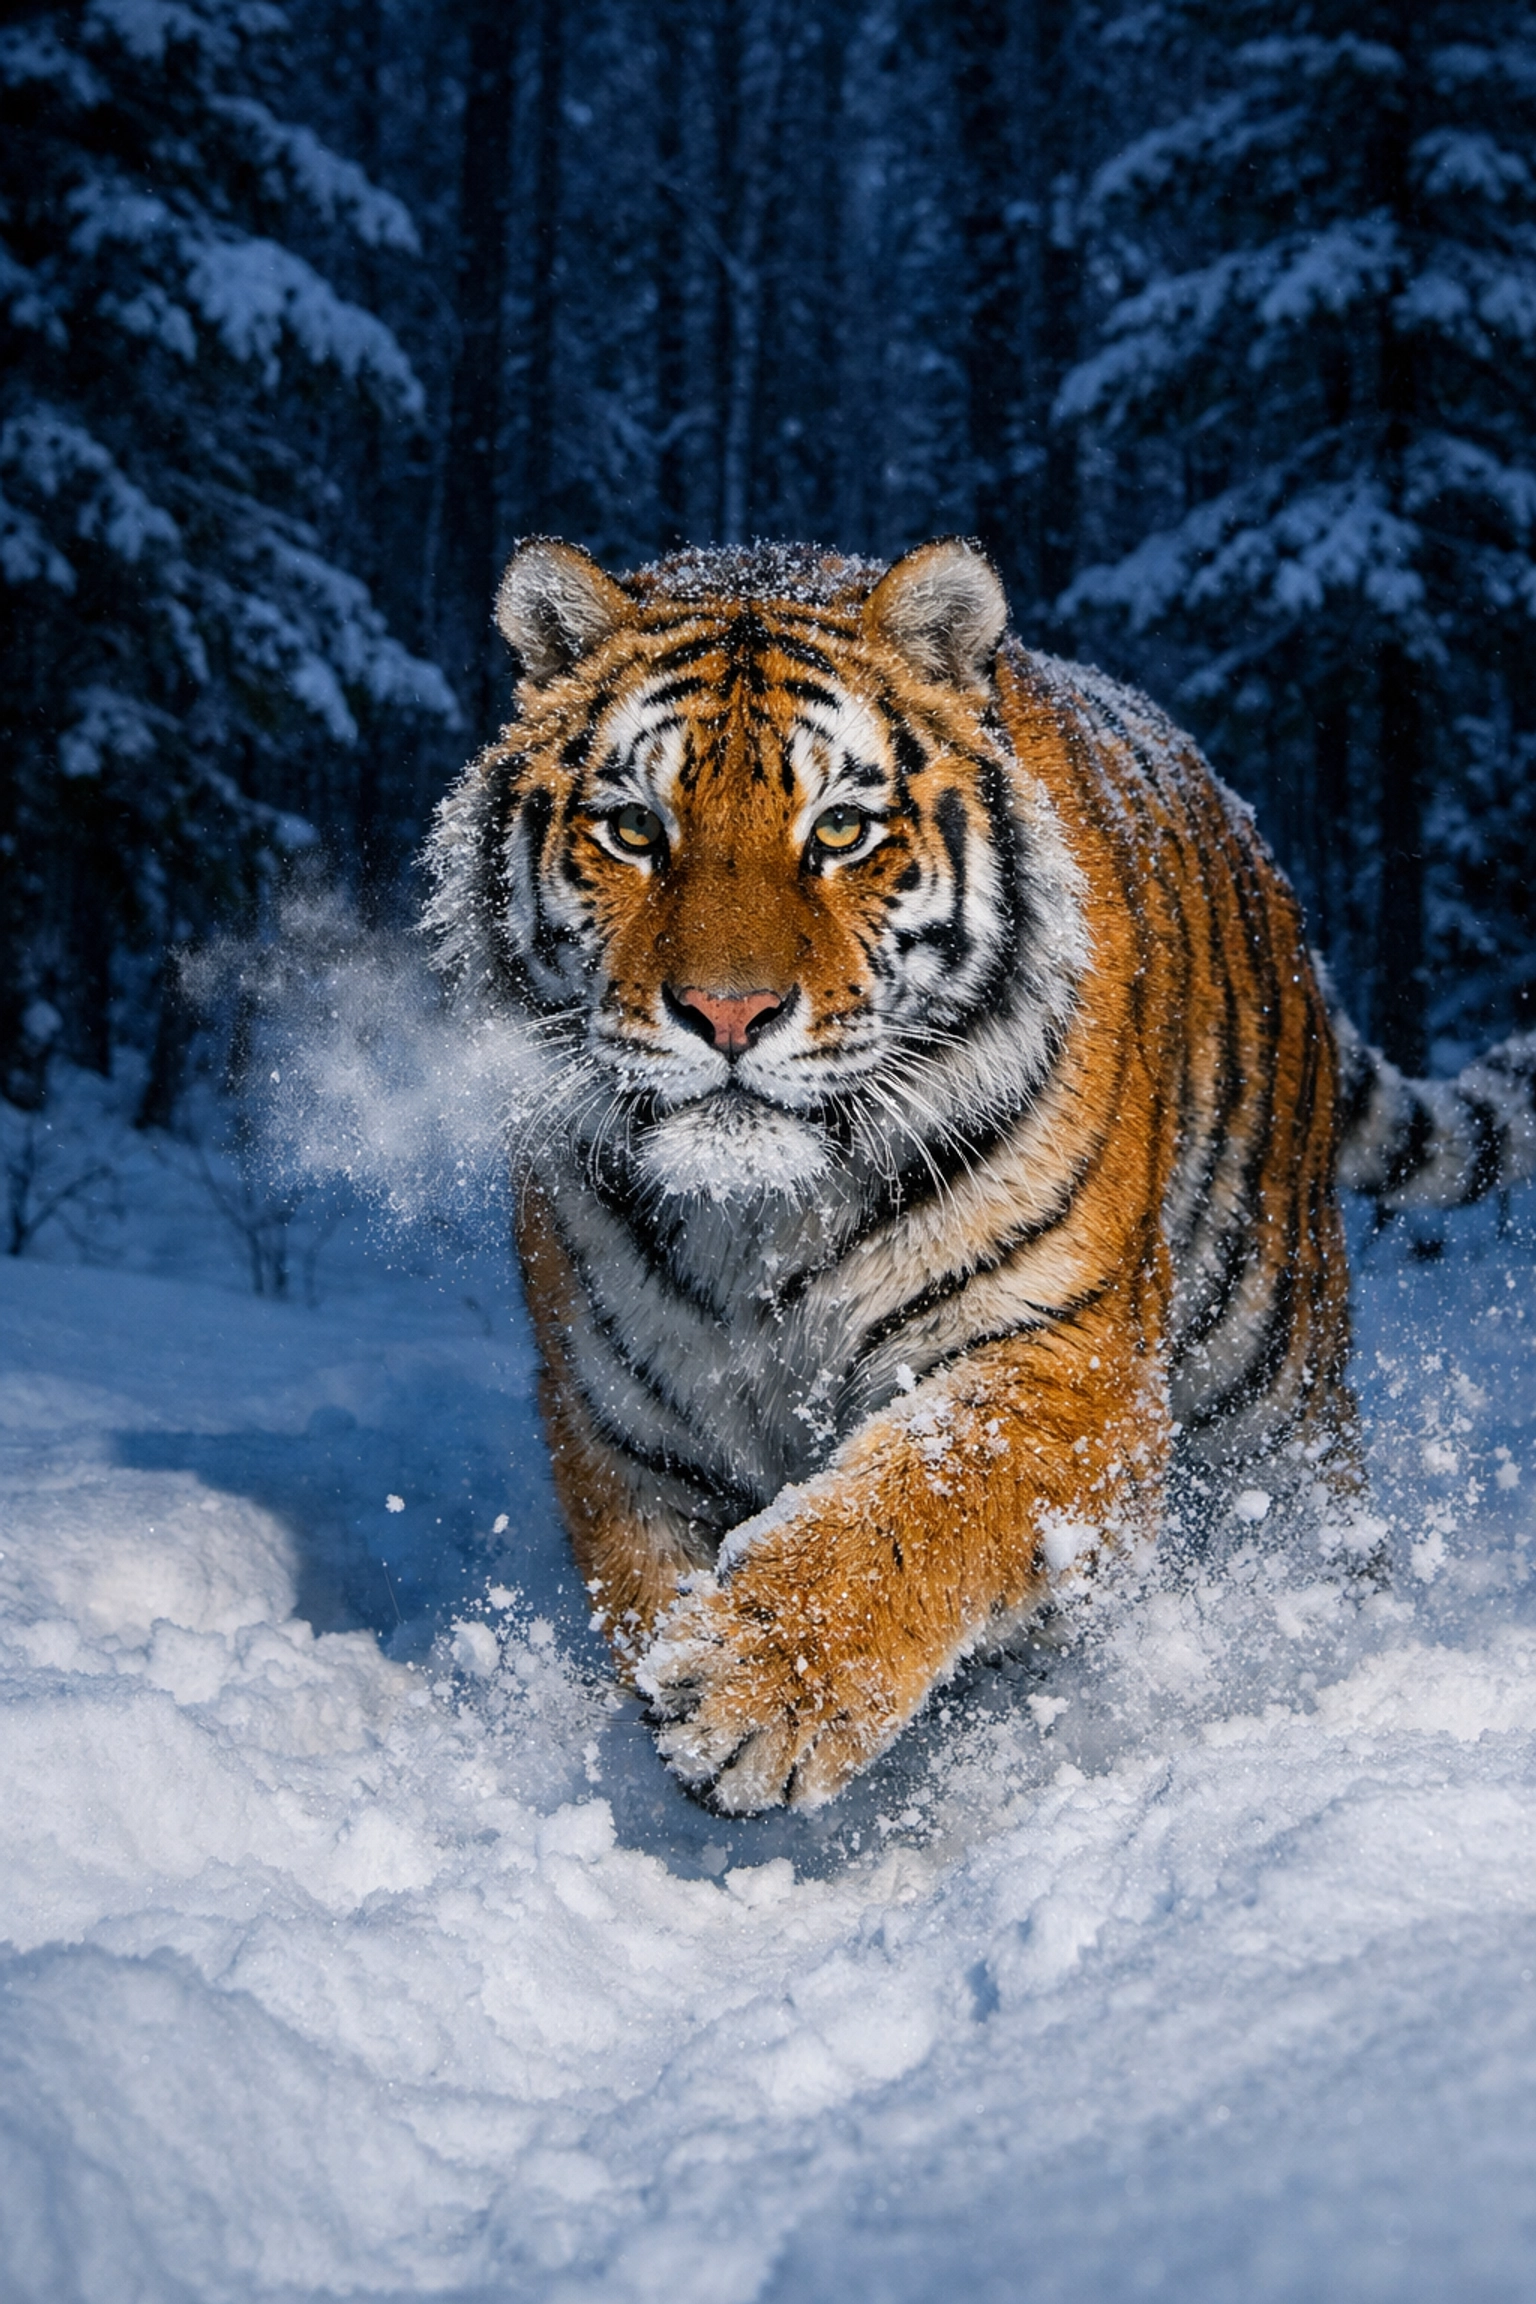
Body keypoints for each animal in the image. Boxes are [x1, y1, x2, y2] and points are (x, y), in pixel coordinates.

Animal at [423, 535, 1536, 1813]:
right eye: (635, 831)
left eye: (841, 832)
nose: (728, 1012)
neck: (761, 1222)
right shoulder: (619, 1427)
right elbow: (644, 1583)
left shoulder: (1065, 1363)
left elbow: (917, 1501)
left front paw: (752, 1687)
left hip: (1270, 1355)